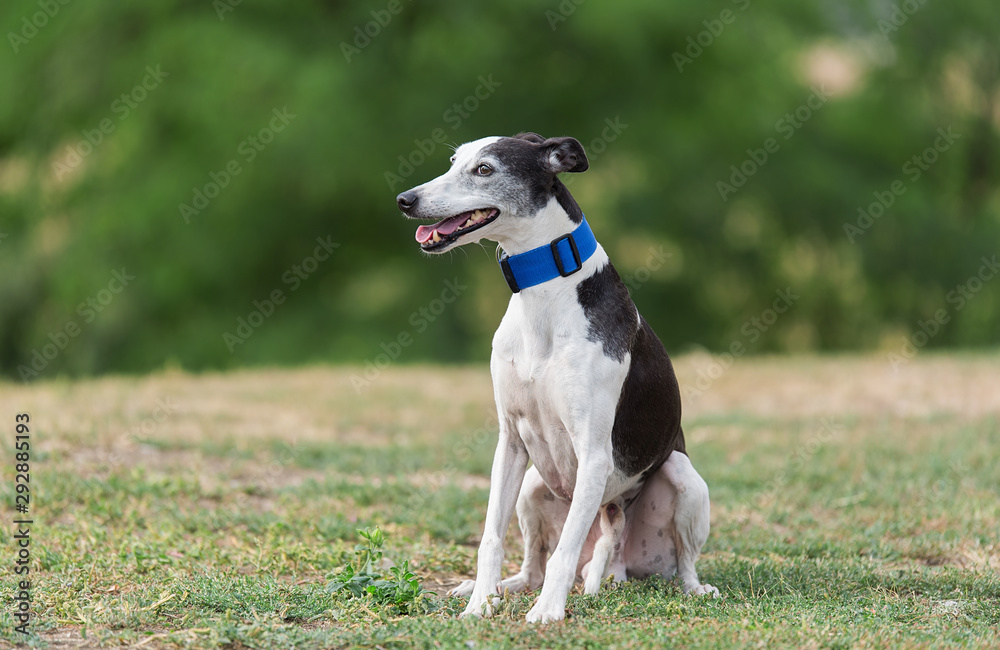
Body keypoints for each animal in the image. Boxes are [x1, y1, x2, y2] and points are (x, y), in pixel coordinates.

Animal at [394, 133, 716, 624]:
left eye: (484, 169)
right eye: (453, 161)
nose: (405, 200)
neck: (545, 293)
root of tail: (619, 568)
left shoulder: (594, 454)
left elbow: (563, 552)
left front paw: (548, 611)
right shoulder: (510, 441)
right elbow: (491, 538)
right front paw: (478, 603)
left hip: (682, 478)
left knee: (681, 564)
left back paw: (693, 588)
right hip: (531, 485)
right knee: (533, 567)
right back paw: (498, 588)